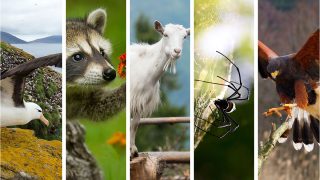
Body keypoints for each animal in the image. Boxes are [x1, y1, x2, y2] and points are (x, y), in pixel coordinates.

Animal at [130, 20, 190, 158]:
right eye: (165, 34)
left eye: (184, 37)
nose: (177, 51)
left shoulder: (141, 101)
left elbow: (134, 124)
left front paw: (133, 150)